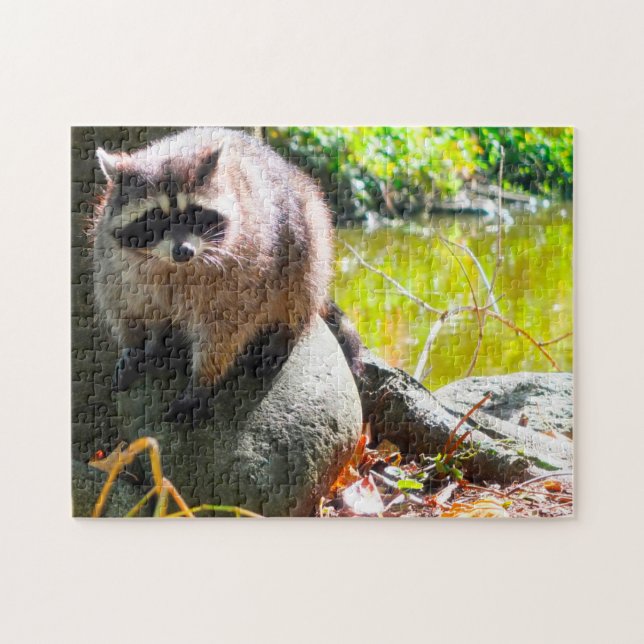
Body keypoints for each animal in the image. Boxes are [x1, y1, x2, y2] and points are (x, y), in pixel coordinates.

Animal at [92, 127, 333, 419]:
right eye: (156, 217)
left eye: (194, 214)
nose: (183, 251)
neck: (172, 265)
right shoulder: (113, 263)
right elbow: (125, 306)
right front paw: (135, 345)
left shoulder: (242, 269)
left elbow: (224, 329)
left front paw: (203, 380)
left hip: (305, 234)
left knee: (302, 287)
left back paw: (283, 335)